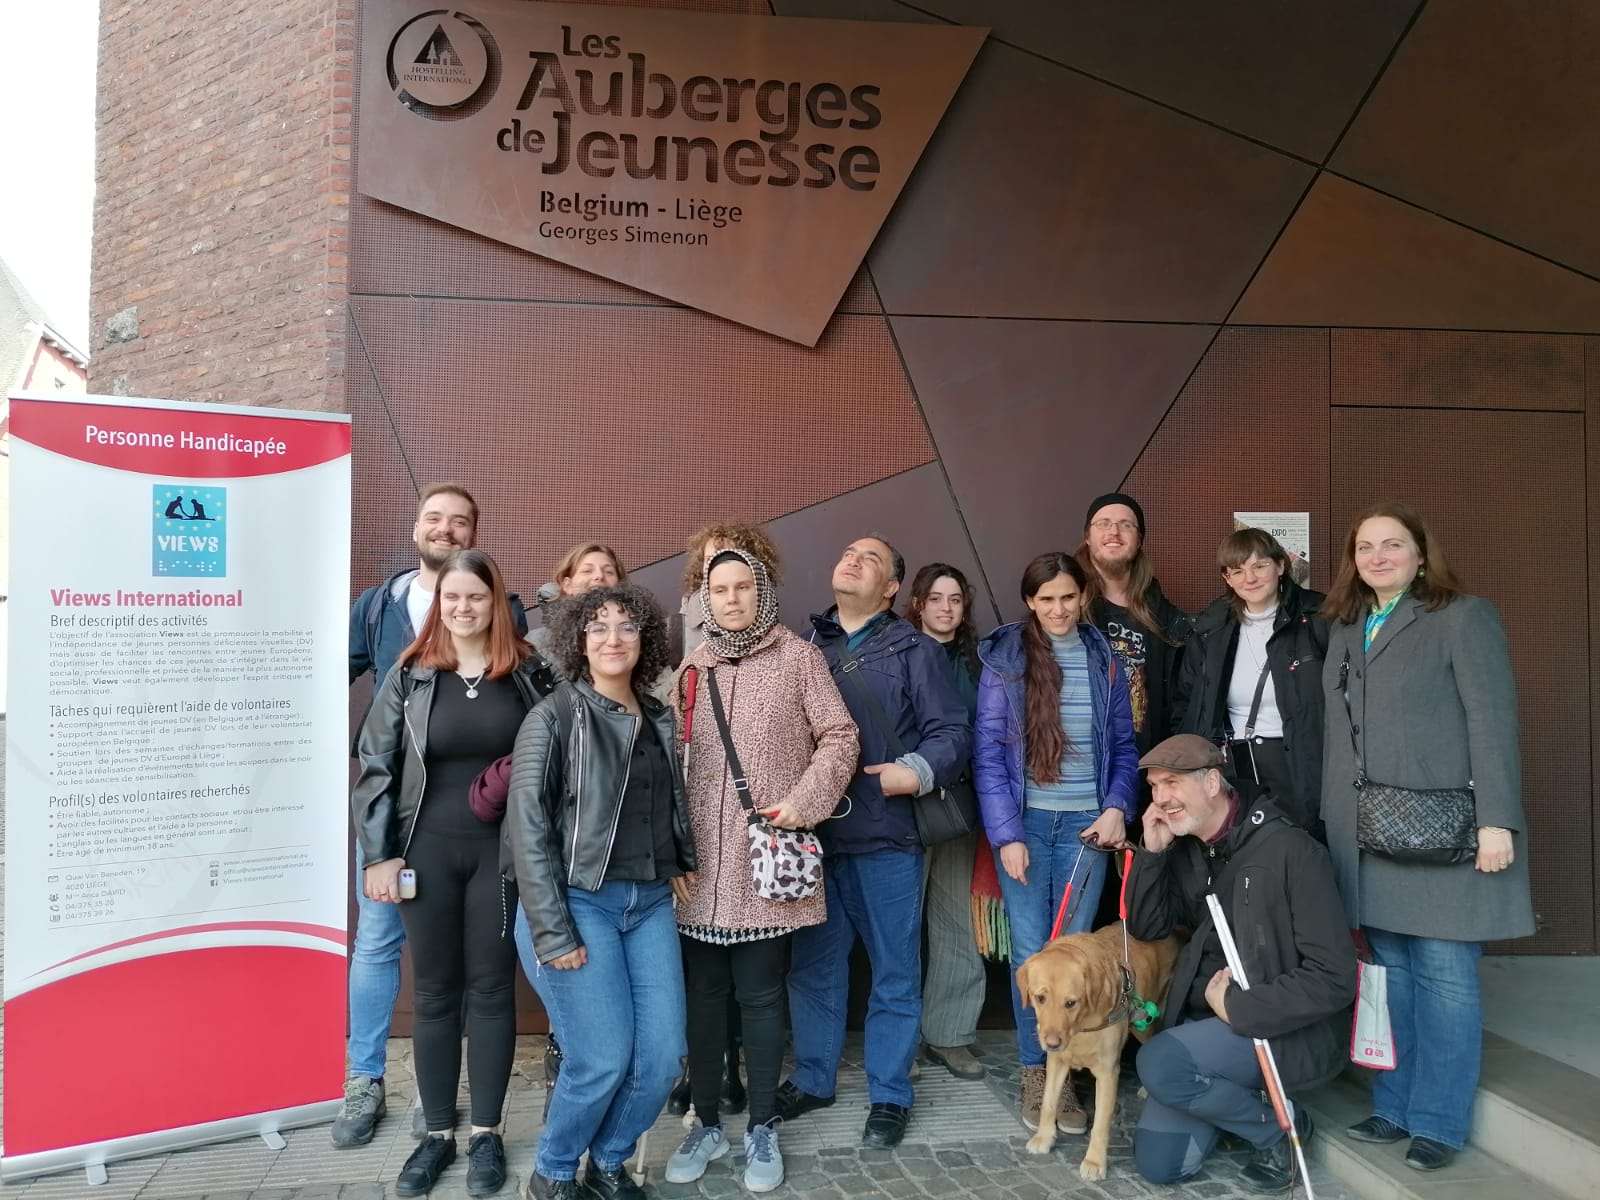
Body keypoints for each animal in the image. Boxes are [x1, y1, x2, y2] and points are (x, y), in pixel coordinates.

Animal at [1017, 928, 1184, 1177]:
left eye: (1071, 1003)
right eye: (1040, 998)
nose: (1052, 1042)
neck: (1080, 1026)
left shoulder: (1107, 1073)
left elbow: (1101, 1124)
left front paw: (1095, 1162)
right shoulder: (1057, 1061)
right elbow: (1048, 1103)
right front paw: (1044, 1138)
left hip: (1145, 1022)